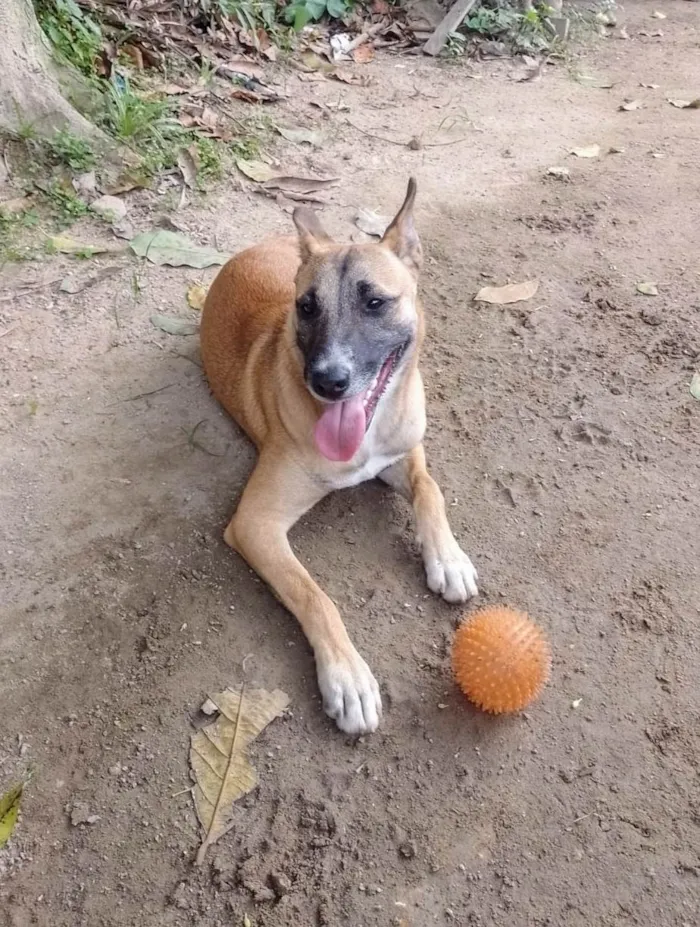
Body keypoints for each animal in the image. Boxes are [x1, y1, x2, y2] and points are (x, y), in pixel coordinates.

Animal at [200, 179, 478, 732]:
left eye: (374, 301)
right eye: (307, 307)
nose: (327, 381)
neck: (366, 436)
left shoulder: (405, 450)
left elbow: (430, 490)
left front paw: (448, 557)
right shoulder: (255, 524)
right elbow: (315, 594)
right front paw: (347, 677)